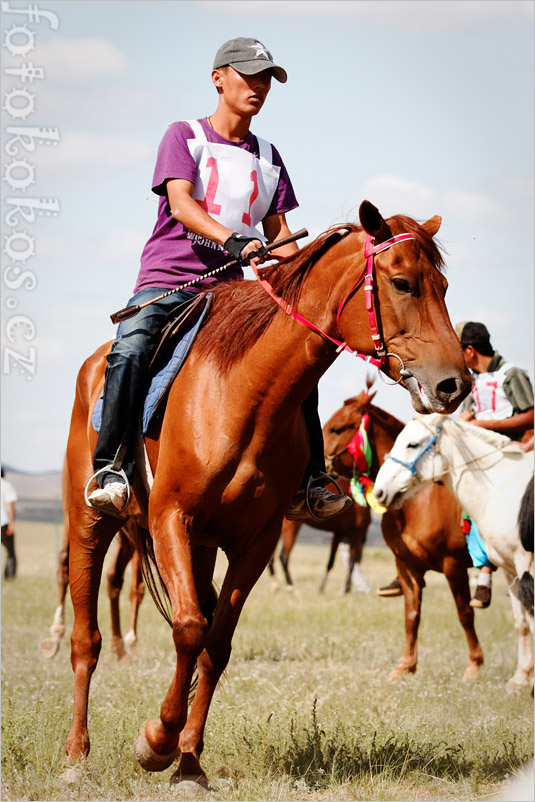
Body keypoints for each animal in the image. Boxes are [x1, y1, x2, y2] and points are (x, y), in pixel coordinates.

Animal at [322, 388, 486, 680]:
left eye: (336, 428)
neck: (415, 499)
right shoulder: (407, 566)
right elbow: (411, 615)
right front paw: (406, 666)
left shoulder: (454, 565)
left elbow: (464, 613)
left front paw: (474, 665)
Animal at [374, 412, 532, 688]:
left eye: (412, 444)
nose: (380, 491)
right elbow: (412, 615)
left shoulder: (457, 565)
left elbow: (465, 613)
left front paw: (475, 668)